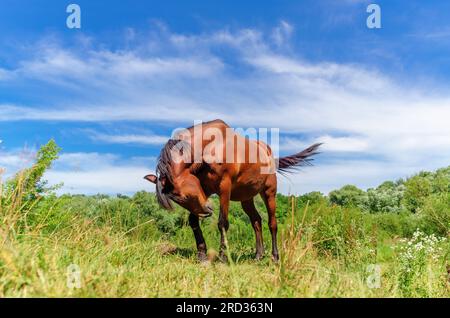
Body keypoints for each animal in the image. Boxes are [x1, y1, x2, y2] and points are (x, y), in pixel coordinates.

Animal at [145, 119, 320, 260]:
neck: (211, 145)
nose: (207, 210)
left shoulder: (224, 188)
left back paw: (274, 256)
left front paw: (223, 257)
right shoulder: (205, 189)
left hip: (269, 192)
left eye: (184, 196)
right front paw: (202, 255)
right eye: (178, 200)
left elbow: (222, 223)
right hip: (246, 198)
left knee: (272, 223)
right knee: (256, 221)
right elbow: (193, 221)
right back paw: (258, 255)